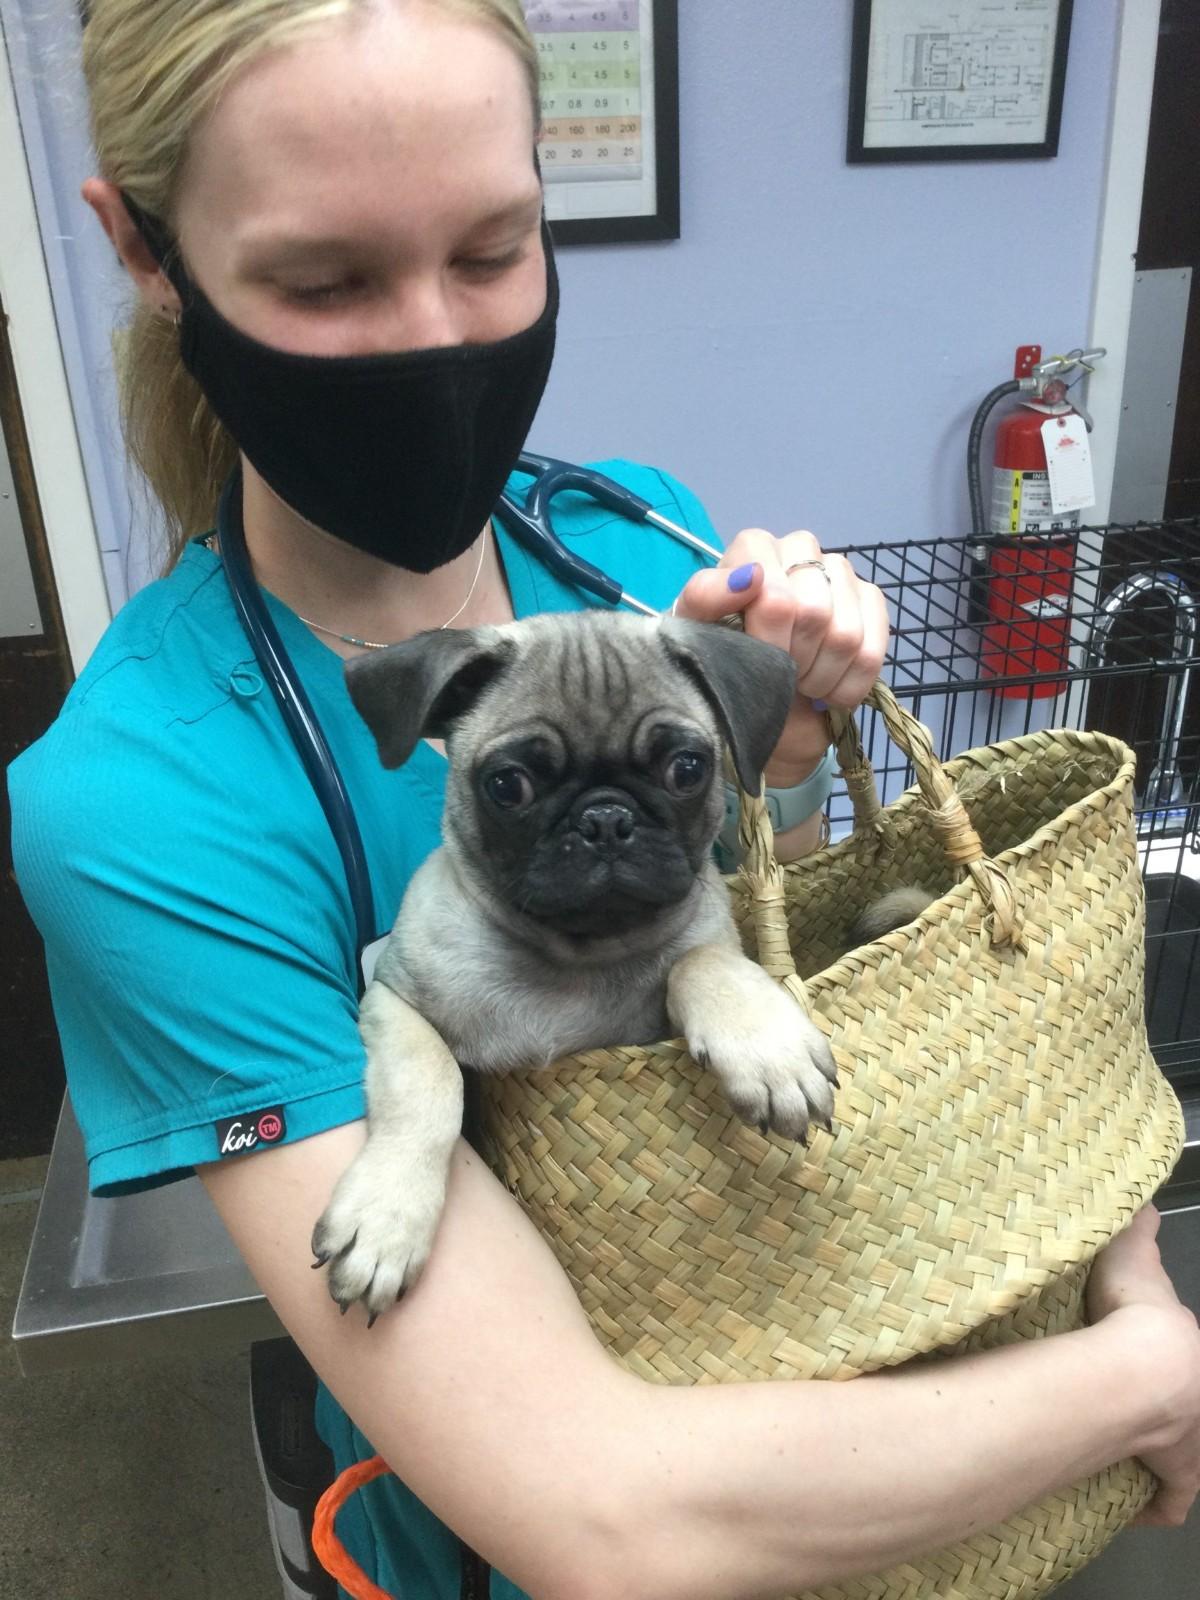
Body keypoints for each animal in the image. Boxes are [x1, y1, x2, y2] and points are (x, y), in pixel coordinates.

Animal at [312, 608, 844, 1312]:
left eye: (687, 769)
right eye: (508, 786)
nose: (606, 818)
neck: (576, 955)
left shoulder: (700, 952)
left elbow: (702, 961)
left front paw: (766, 1048)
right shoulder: (393, 1001)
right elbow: (429, 1084)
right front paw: (386, 1218)